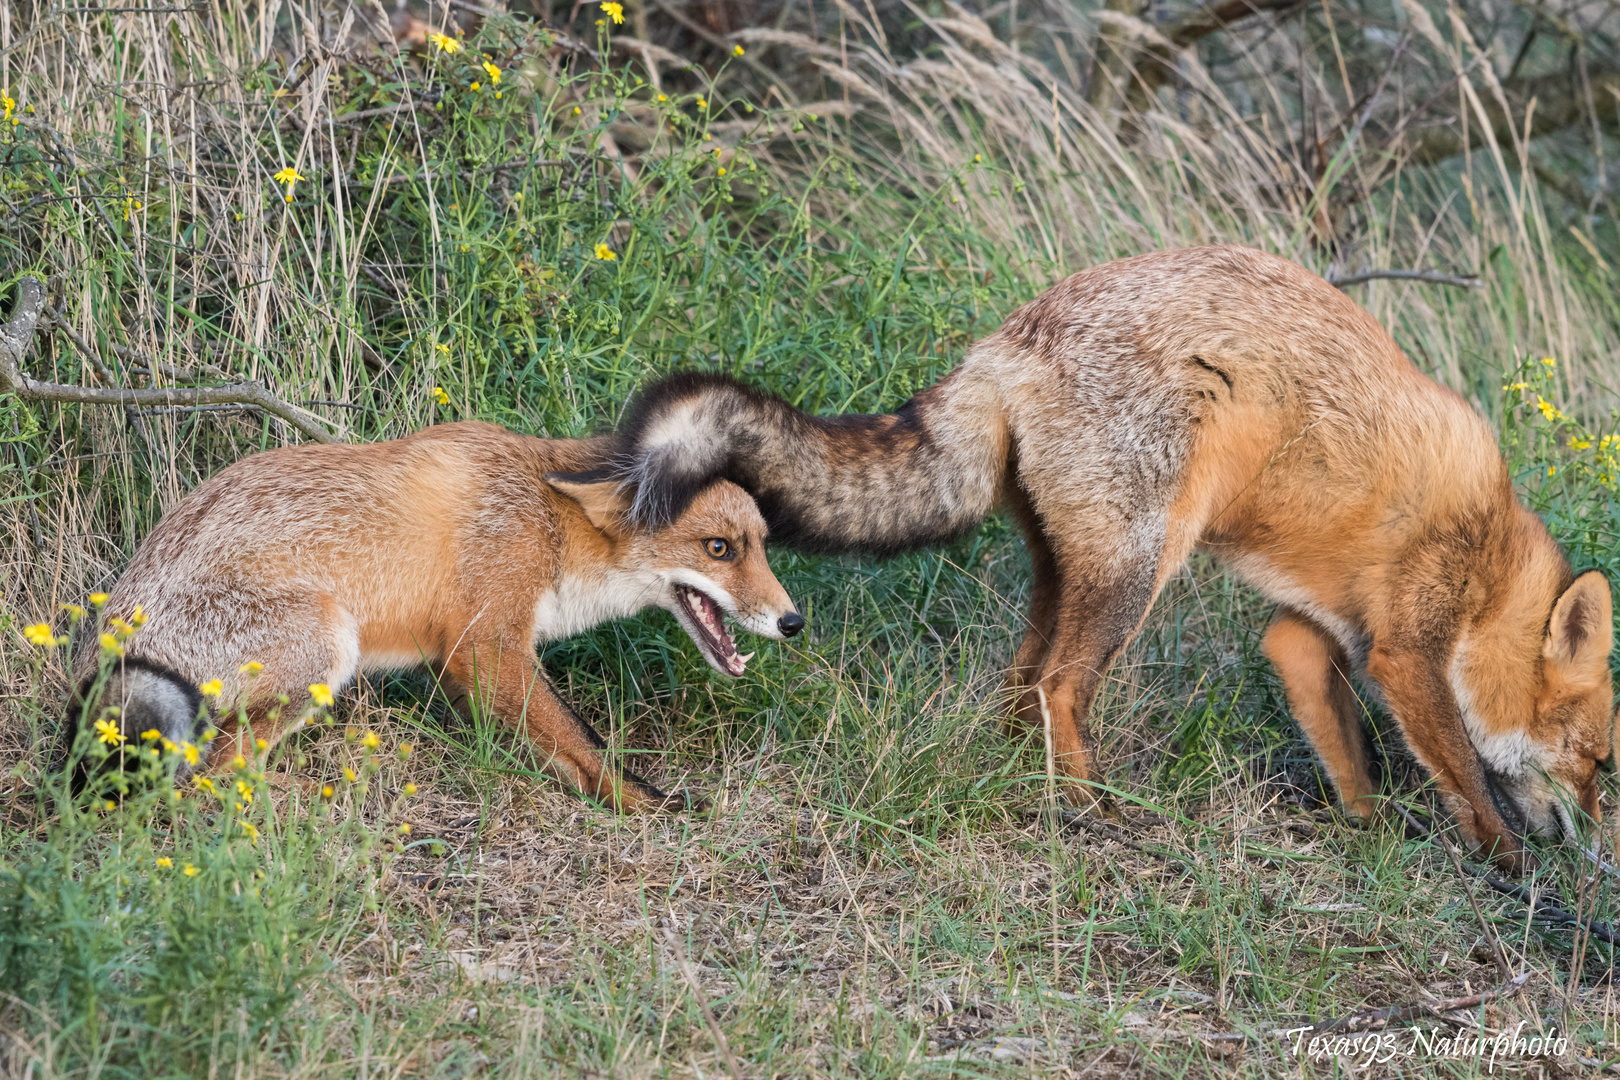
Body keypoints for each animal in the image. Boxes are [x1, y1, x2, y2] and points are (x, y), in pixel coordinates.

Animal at [69, 420, 803, 809]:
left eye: (761, 544)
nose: (792, 622)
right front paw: (645, 805)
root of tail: (103, 639)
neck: (549, 525)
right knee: (203, 777)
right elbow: (583, 738)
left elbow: (559, 744)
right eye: (718, 548)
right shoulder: (487, 644)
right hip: (329, 642)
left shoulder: (470, 659)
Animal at [612, 242, 1613, 861]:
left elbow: (1345, 747)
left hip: (1068, 570)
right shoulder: (1407, 649)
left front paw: (1367, 830)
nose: (1588, 845)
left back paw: (1036, 785)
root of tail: (1008, 338)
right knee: (1058, 686)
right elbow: (1465, 774)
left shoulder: (1308, 633)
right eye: (1601, 767)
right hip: (1137, 566)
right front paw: (1506, 866)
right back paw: (1093, 809)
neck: (1490, 560)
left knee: (1023, 685)